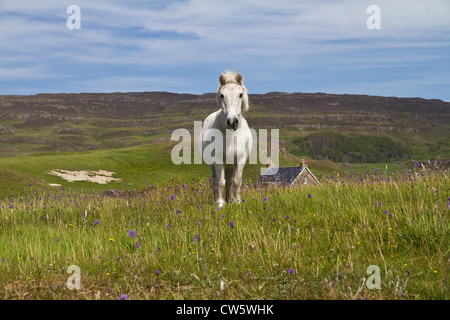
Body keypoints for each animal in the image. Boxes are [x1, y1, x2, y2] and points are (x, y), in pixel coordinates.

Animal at [200, 70, 253, 208]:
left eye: (240, 94)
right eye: (222, 95)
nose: (232, 122)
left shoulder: (240, 160)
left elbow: (236, 181)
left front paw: (237, 202)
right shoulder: (218, 160)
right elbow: (220, 182)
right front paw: (220, 203)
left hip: (230, 165)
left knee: (229, 181)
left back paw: (230, 199)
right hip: (213, 164)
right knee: (215, 181)